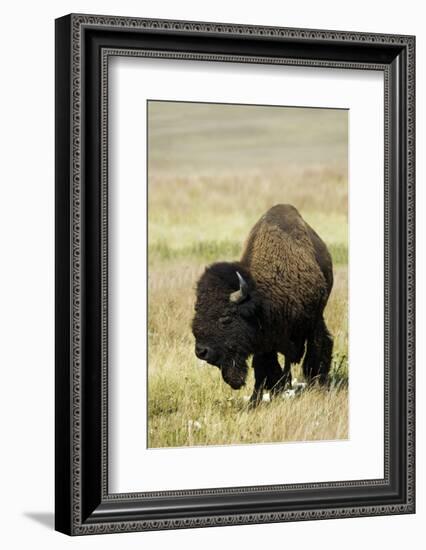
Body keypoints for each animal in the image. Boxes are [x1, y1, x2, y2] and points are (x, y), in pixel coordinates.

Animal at [191, 204, 334, 406]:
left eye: (226, 318)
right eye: (197, 311)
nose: (201, 351)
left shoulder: (313, 322)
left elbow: (316, 351)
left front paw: (318, 385)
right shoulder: (264, 341)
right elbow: (264, 369)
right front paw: (257, 399)